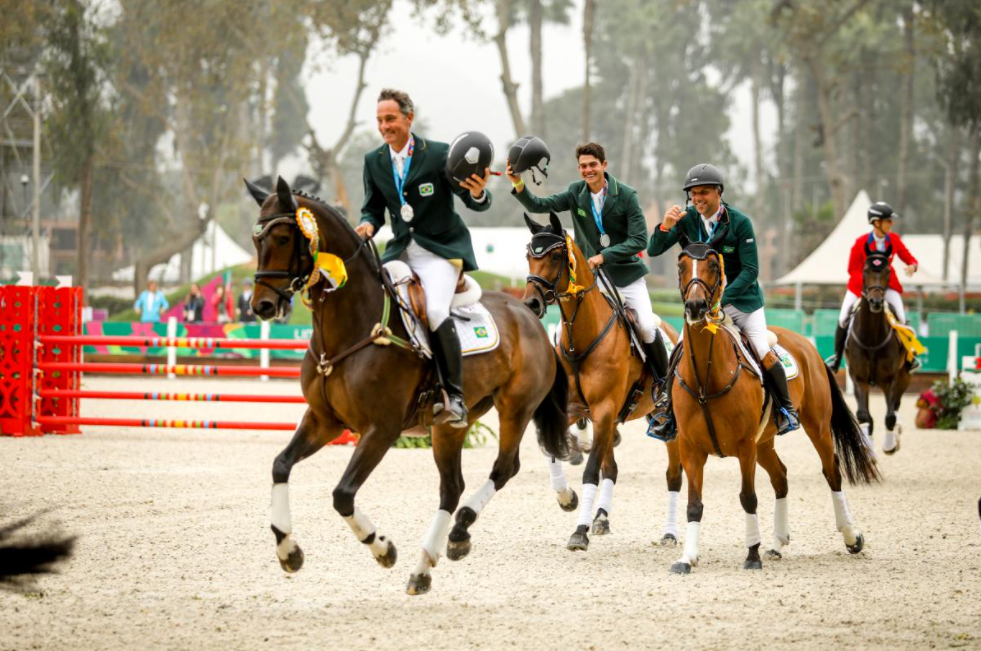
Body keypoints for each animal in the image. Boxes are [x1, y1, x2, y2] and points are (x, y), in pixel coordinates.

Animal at [245, 177, 572, 596]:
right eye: (256, 240)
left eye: (284, 237)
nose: (263, 306)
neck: (351, 326)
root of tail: (529, 315)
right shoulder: (323, 420)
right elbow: (280, 465)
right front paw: (288, 550)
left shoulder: (380, 430)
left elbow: (342, 495)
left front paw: (382, 548)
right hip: (451, 427)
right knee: (452, 487)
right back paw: (425, 566)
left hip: (515, 409)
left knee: (503, 468)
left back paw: (455, 534)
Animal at [520, 213, 680, 552]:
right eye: (529, 255)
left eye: (555, 256)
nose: (531, 304)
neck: (581, 338)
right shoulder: (575, 410)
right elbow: (551, 449)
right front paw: (567, 499)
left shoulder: (604, 410)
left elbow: (591, 471)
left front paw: (579, 532)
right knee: (612, 468)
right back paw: (602, 517)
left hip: (663, 423)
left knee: (674, 475)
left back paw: (670, 533)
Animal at [668, 242, 876, 572]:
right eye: (681, 267)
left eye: (713, 265)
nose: (696, 307)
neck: (706, 378)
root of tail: (808, 345)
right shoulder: (691, 449)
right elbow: (694, 504)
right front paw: (687, 558)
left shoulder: (744, 447)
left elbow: (748, 497)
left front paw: (751, 554)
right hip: (764, 443)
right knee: (781, 478)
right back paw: (778, 544)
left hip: (816, 427)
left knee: (832, 472)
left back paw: (851, 537)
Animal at [844, 247, 912, 456]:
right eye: (865, 270)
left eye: (888, 272)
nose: (875, 301)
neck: (871, 338)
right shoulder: (859, 380)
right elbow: (864, 415)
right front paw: (868, 448)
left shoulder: (890, 380)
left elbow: (889, 416)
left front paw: (889, 445)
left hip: (904, 377)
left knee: (896, 407)